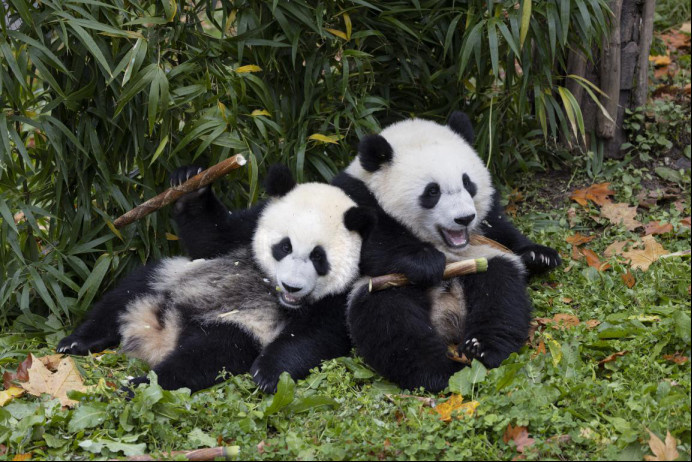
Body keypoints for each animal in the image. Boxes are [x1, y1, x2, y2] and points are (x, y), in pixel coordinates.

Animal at [56, 164, 376, 392]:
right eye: (283, 246)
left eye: (319, 258)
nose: (291, 287)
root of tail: (166, 329)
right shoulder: (251, 223)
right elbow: (211, 238)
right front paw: (190, 182)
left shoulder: (353, 284)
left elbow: (317, 334)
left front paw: (266, 372)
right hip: (169, 275)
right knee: (123, 295)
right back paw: (77, 342)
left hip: (237, 325)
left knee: (203, 358)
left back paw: (142, 385)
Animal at [330, 112, 564, 390]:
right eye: (432, 191)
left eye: (467, 182)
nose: (464, 218)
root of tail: (448, 317)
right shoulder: (353, 195)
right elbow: (372, 244)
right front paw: (426, 262)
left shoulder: (487, 221)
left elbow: (501, 230)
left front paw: (539, 256)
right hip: (380, 287)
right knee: (390, 322)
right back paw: (437, 371)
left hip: (484, 263)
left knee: (501, 295)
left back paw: (480, 349)